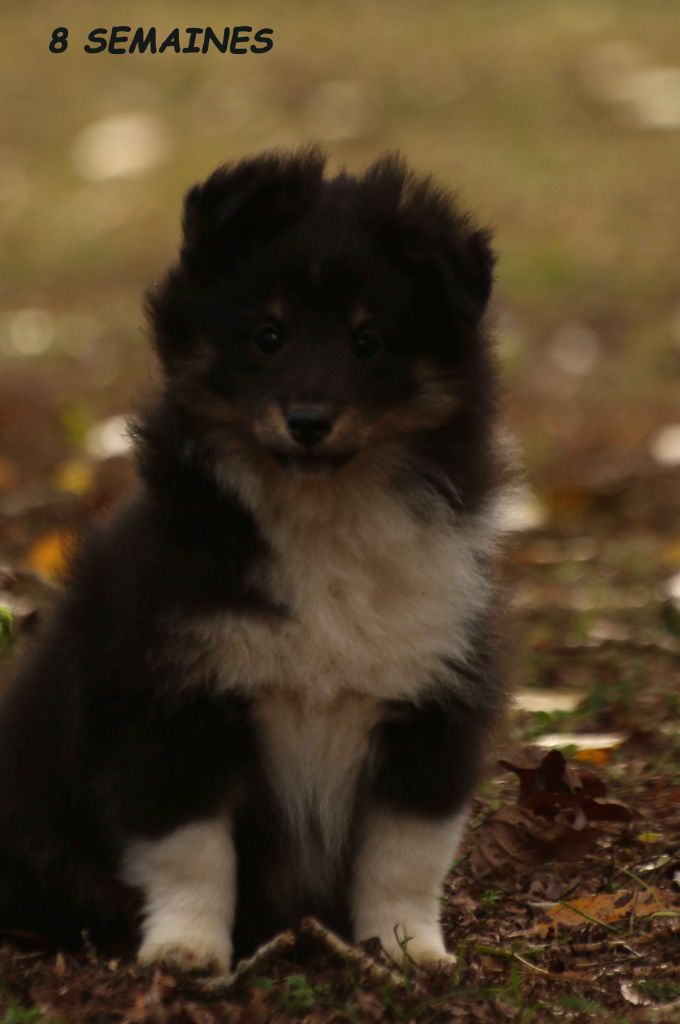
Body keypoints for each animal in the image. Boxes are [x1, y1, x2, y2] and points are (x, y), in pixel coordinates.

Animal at [0, 148, 507, 970]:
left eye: (368, 342)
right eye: (268, 335)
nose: (308, 420)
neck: (319, 512)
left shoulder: (431, 704)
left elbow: (406, 854)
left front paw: (408, 952)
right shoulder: (170, 704)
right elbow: (194, 852)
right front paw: (186, 951)